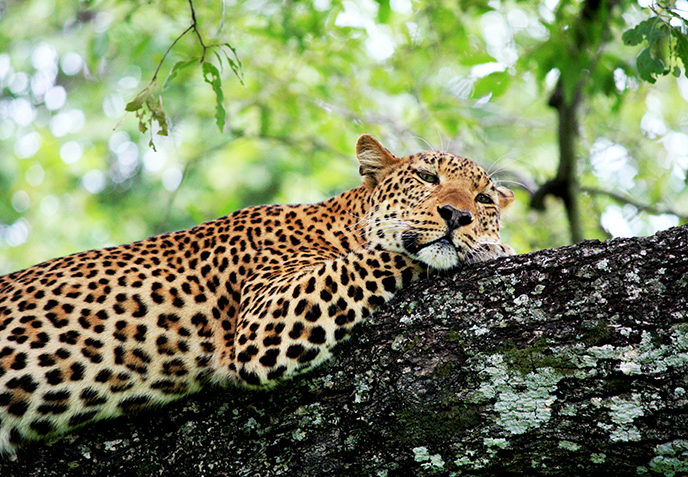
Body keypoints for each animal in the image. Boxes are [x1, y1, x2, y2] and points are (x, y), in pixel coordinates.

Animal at [0, 133, 516, 450]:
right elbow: (384, 255)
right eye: (427, 178)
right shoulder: (269, 320)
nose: (459, 216)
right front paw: (493, 247)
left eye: (484, 199)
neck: (337, 223)